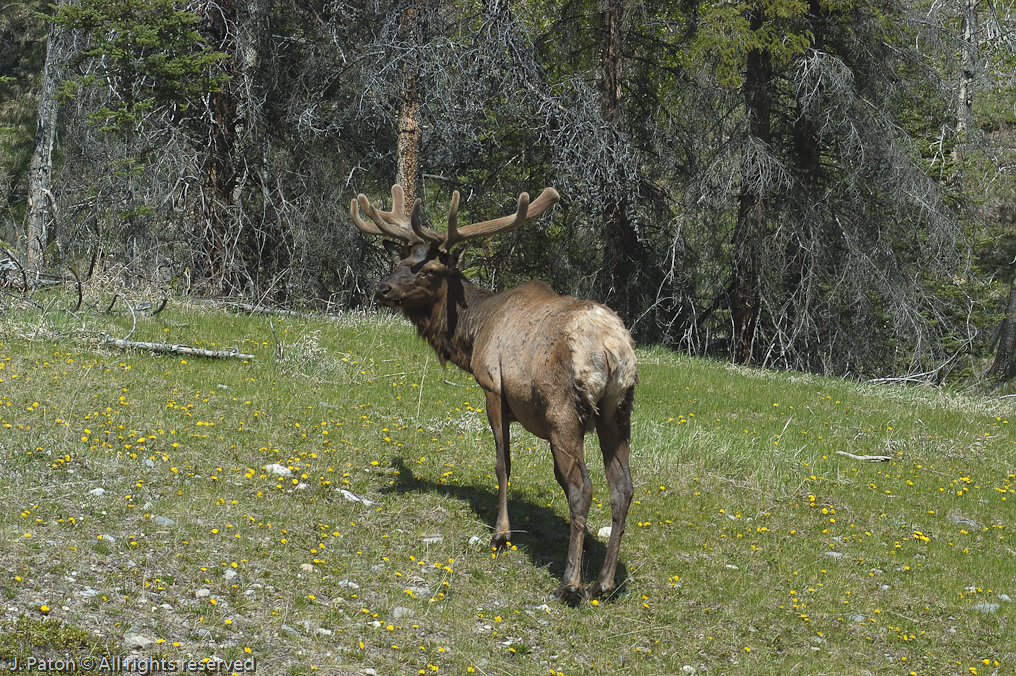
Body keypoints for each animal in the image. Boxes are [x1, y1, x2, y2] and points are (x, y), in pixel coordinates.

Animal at [350, 184, 637, 602]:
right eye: (401, 261)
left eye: (431, 270)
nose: (382, 288)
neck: (471, 335)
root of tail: (612, 349)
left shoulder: (492, 387)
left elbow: (503, 464)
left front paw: (500, 534)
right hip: (618, 411)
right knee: (623, 488)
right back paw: (604, 582)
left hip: (563, 412)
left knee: (583, 488)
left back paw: (570, 584)